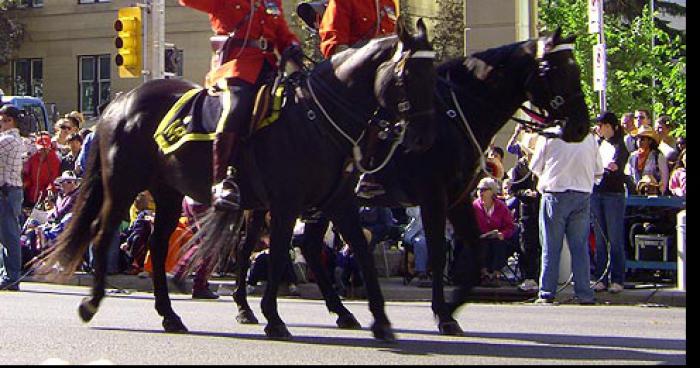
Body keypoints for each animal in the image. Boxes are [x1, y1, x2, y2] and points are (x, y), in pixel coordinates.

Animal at [38, 19, 434, 342]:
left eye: (434, 74)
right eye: (407, 76)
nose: (420, 137)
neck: (317, 117)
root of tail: (118, 103)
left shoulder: (336, 203)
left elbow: (361, 254)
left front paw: (381, 321)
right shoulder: (286, 203)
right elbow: (277, 254)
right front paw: (273, 318)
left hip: (167, 194)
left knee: (158, 246)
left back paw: (170, 315)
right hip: (123, 185)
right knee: (103, 235)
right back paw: (92, 303)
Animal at [228, 28, 592, 334]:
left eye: (575, 70)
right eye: (555, 71)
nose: (580, 127)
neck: (456, 116)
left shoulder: (458, 198)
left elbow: (474, 252)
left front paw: (451, 306)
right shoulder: (434, 197)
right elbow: (438, 254)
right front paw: (443, 314)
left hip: (309, 202)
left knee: (298, 245)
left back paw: (333, 311)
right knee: (256, 246)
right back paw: (252, 307)